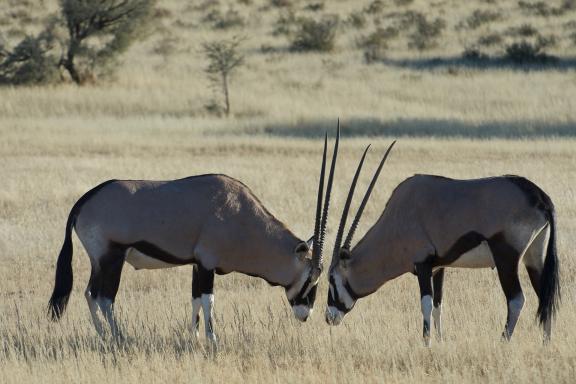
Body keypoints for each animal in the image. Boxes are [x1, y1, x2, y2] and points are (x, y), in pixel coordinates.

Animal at [48, 126, 342, 342]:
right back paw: (120, 338)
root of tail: (85, 200)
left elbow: (195, 301)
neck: (241, 217)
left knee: (89, 294)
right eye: (311, 279)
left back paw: (103, 336)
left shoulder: (196, 265)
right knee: (104, 298)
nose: (306, 314)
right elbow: (208, 300)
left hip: (99, 260)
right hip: (112, 257)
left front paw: (195, 339)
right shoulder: (207, 264)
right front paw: (213, 341)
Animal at [326, 143, 560, 344]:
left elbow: (426, 304)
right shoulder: (438, 267)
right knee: (544, 297)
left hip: (506, 259)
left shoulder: (422, 264)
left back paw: (502, 342)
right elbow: (439, 304)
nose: (329, 317)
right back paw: (546, 344)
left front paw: (426, 343)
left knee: (517, 300)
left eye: (331, 279)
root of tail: (539, 197)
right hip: (534, 257)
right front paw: (439, 341)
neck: (398, 217)